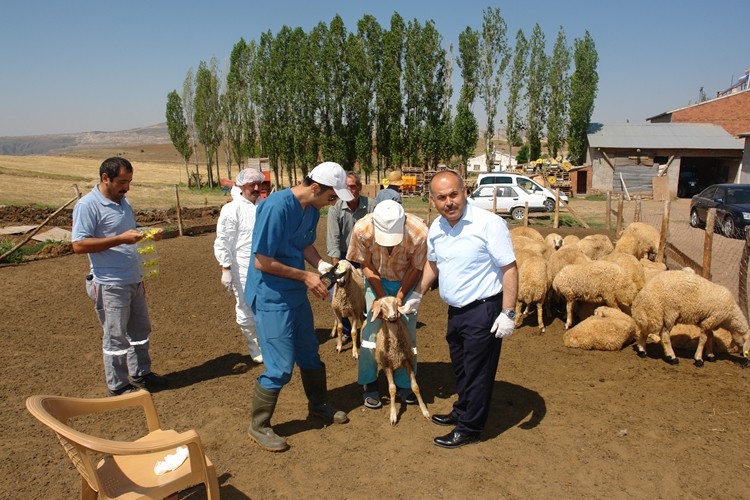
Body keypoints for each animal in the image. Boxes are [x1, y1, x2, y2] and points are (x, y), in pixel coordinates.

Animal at [368, 296, 428, 426]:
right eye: (382, 306)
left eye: (396, 303)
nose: (392, 317)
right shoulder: (387, 365)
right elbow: (392, 389)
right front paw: (393, 415)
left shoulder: (407, 361)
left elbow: (415, 386)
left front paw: (424, 410)